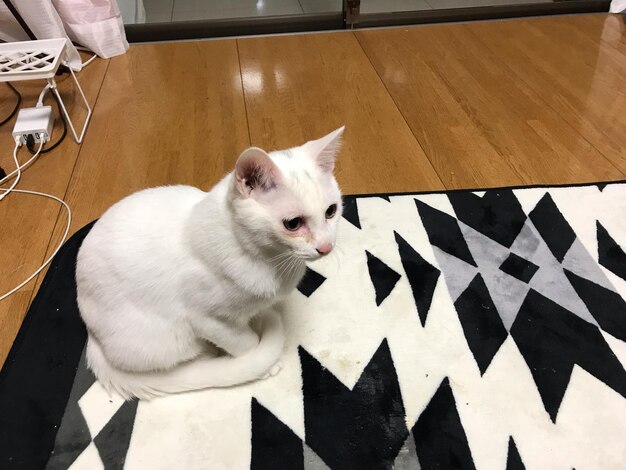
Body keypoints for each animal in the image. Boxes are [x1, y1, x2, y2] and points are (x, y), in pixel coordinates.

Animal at [77, 126, 346, 398]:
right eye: (293, 223)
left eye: (331, 211)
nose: (326, 246)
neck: (270, 260)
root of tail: (90, 334)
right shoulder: (208, 321)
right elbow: (245, 343)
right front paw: (263, 364)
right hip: (166, 340)